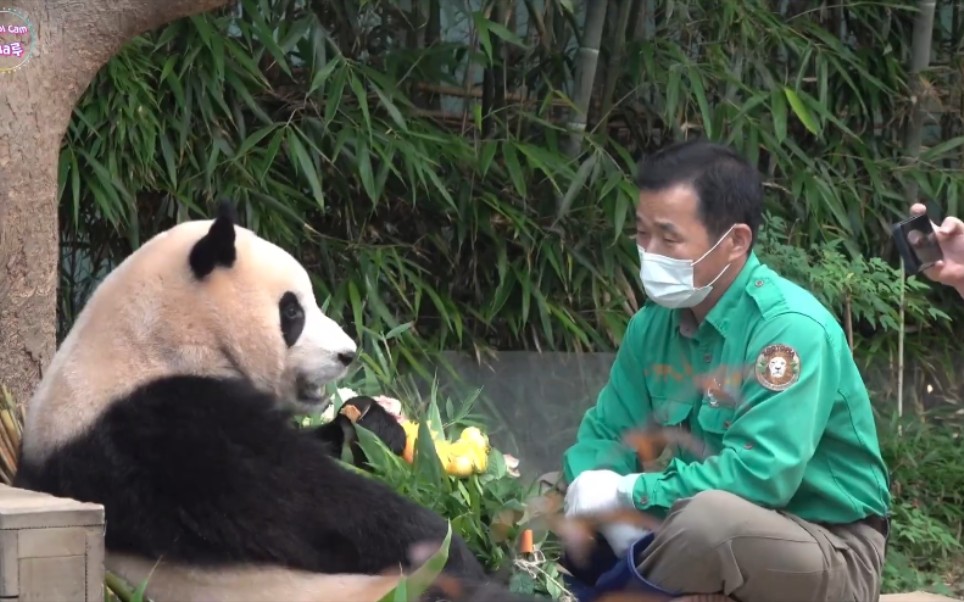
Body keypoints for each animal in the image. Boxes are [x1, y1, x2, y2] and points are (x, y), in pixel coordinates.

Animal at [13, 202, 536, 600]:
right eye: (292, 311)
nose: (349, 353)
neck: (155, 341)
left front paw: (371, 423)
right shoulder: (162, 429)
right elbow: (307, 505)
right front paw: (451, 547)